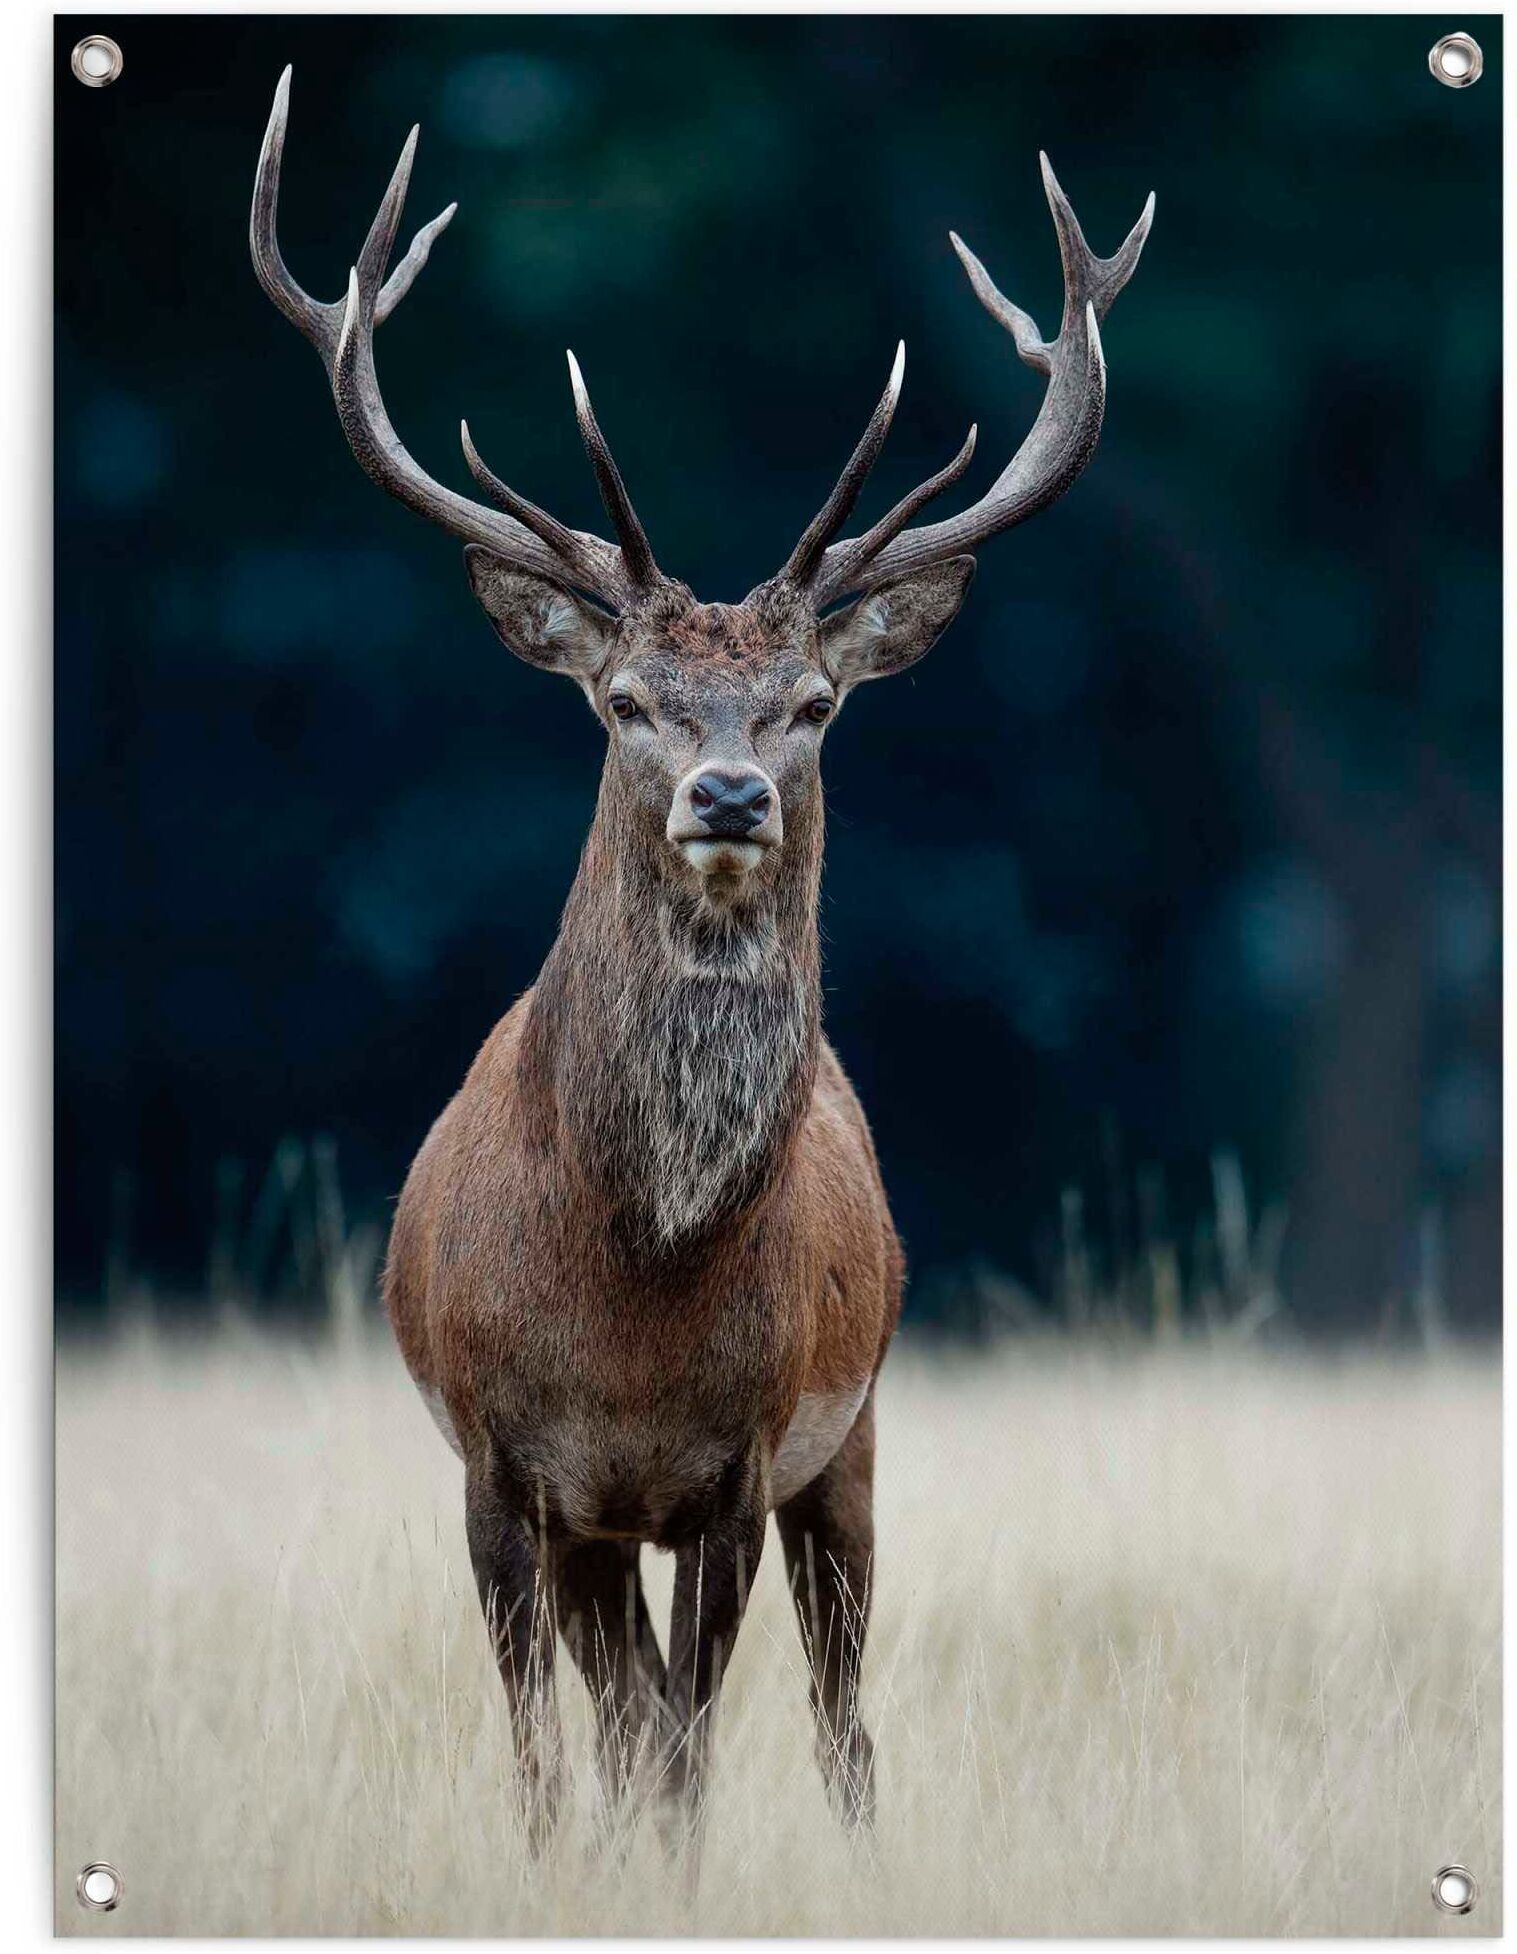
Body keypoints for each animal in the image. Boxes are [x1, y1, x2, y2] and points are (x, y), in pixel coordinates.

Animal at [251, 67, 1152, 1843]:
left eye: (812, 704)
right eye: (623, 700)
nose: (728, 791)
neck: (633, 1288)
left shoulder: (740, 1461)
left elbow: (685, 1753)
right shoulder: (503, 1468)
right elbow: (555, 1757)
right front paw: (555, 1864)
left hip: (854, 1440)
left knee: (838, 1716)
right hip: (613, 1525)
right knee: (621, 1714)